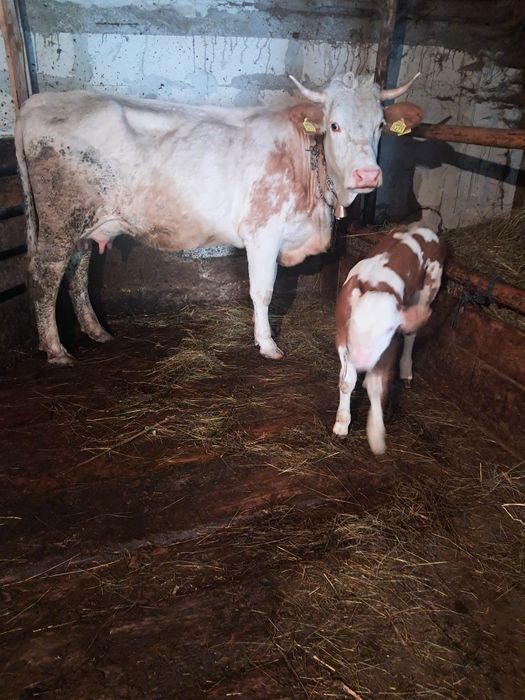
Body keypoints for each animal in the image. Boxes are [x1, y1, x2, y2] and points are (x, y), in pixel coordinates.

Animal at [15, 71, 421, 365]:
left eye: (380, 126)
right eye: (334, 125)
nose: (368, 175)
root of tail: (37, 103)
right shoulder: (263, 233)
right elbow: (263, 291)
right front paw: (267, 345)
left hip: (86, 224)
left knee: (78, 270)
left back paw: (96, 331)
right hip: (59, 220)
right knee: (46, 273)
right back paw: (56, 350)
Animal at [333, 225, 445, 454]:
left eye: (389, 330)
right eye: (354, 322)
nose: (362, 361)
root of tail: (422, 228)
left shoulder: (389, 347)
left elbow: (376, 386)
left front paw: (376, 432)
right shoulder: (342, 337)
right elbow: (346, 381)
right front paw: (341, 425)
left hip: (429, 288)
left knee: (411, 335)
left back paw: (406, 371)